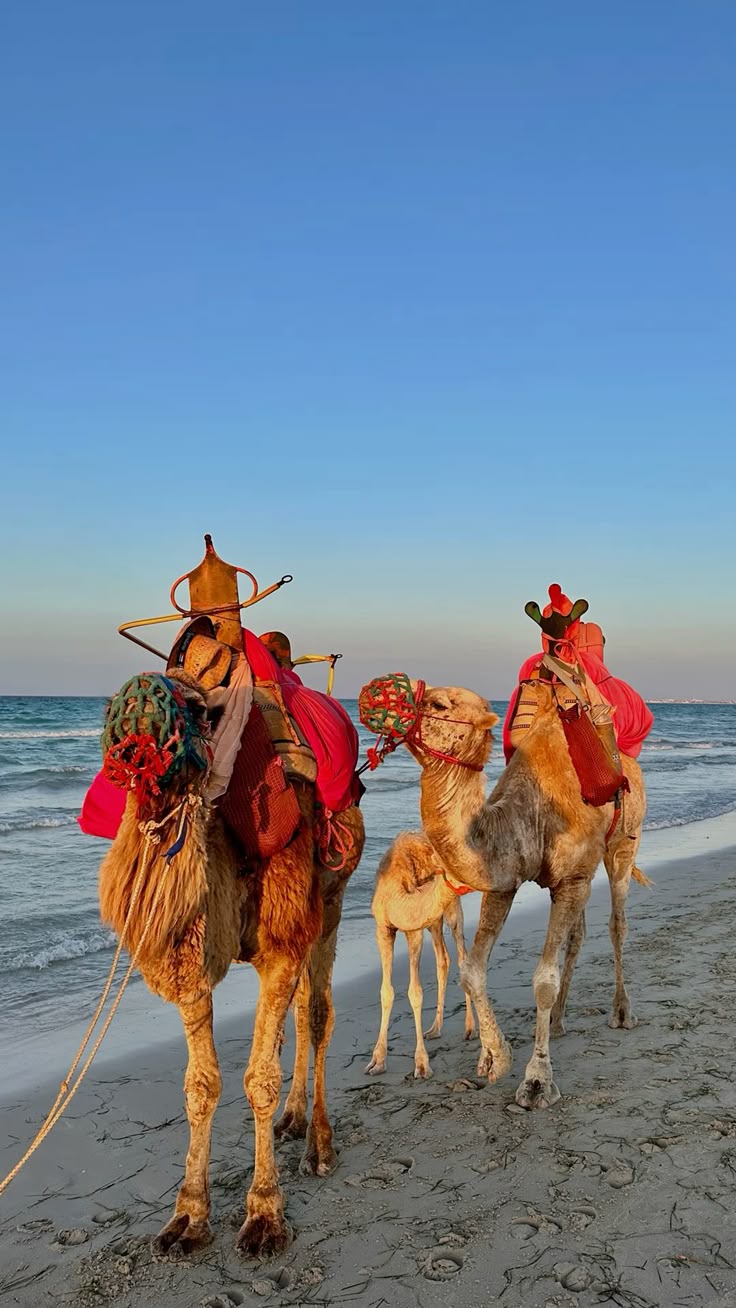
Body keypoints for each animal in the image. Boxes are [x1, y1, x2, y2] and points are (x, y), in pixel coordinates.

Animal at [98, 668, 364, 1258]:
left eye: (197, 710)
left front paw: (265, 1215)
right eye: (112, 707)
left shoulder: (283, 938)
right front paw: (187, 1218)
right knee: (299, 1015)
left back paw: (319, 1146)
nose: (135, 713)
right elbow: (200, 1084)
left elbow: (258, 1078)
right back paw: (293, 1121)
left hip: (330, 899)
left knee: (319, 1014)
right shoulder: (191, 961)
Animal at [366, 830, 476, 1079]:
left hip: (451, 909)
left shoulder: (413, 929)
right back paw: (434, 1029)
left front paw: (422, 1064)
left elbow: (415, 992)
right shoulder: (382, 929)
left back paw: (470, 1028)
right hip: (434, 919)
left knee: (462, 956)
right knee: (443, 959)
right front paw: (377, 1061)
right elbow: (386, 992)